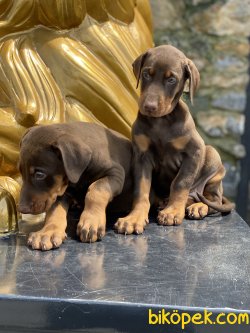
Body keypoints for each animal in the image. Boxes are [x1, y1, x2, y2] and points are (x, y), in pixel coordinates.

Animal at [114, 44, 234, 233]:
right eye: (146, 74)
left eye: (171, 80)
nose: (149, 106)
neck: (161, 121)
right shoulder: (141, 156)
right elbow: (141, 189)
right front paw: (134, 218)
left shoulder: (194, 152)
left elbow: (180, 183)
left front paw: (172, 212)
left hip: (212, 158)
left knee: (212, 200)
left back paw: (197, 206)